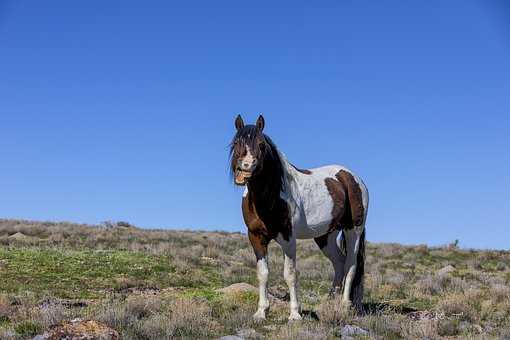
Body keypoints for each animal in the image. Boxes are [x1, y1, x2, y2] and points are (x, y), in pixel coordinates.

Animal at [229, 115, 368, 322]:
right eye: (236, 142)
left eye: (261, 144)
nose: (244, 170)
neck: (271, 195)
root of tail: (352, 177)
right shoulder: (256, 237)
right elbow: (263, 273)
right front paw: (261, 312)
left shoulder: (288, 238)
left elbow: (290, 274)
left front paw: (294, 314)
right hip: (325, 236)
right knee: (339, 263)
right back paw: (329, 303)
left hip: (353, 231)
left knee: (350, 265)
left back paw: (344, 306)